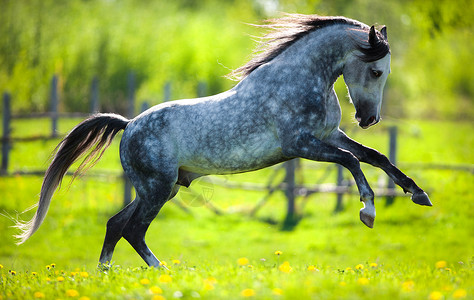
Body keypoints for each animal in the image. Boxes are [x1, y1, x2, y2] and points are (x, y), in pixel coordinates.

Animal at [14, 14, 432, 268]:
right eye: (376, 71)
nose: (368, 119)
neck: (301, 80)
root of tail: (129, 124)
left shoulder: (329, 135)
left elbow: (376, 157)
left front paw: (418, 194)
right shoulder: (300, 145)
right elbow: (352, 161)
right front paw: (368, 211)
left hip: (161, 188)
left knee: (116, 225)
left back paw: (108, 274)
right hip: (157, 189)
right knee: (132, 229)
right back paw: (162, 272)